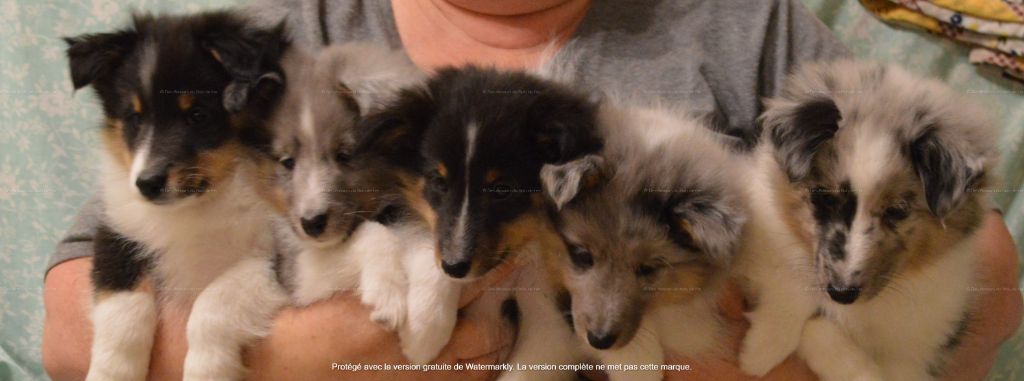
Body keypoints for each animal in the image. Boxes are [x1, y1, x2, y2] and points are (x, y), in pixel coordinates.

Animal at [65, 11, 288, 381]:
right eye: (134, 117)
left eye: (197, 114)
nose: (147, 183)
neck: (200, 204)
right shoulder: (117, 235)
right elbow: (123, 312)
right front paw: (110, 372)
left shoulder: (278, 258)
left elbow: (212, 305)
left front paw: (206, 370)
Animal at [358, 67, 598, 378]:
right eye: (439, 182)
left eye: (502, 189)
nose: (455, 266)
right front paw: (425, 327)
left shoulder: (549, 316)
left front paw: (422, 333)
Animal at [737, 60, 999, 378]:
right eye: (826, 198)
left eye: (897, 211)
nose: (841, 293)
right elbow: (791, 276)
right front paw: (762, 348)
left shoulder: (916, 355)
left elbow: (824, 335)